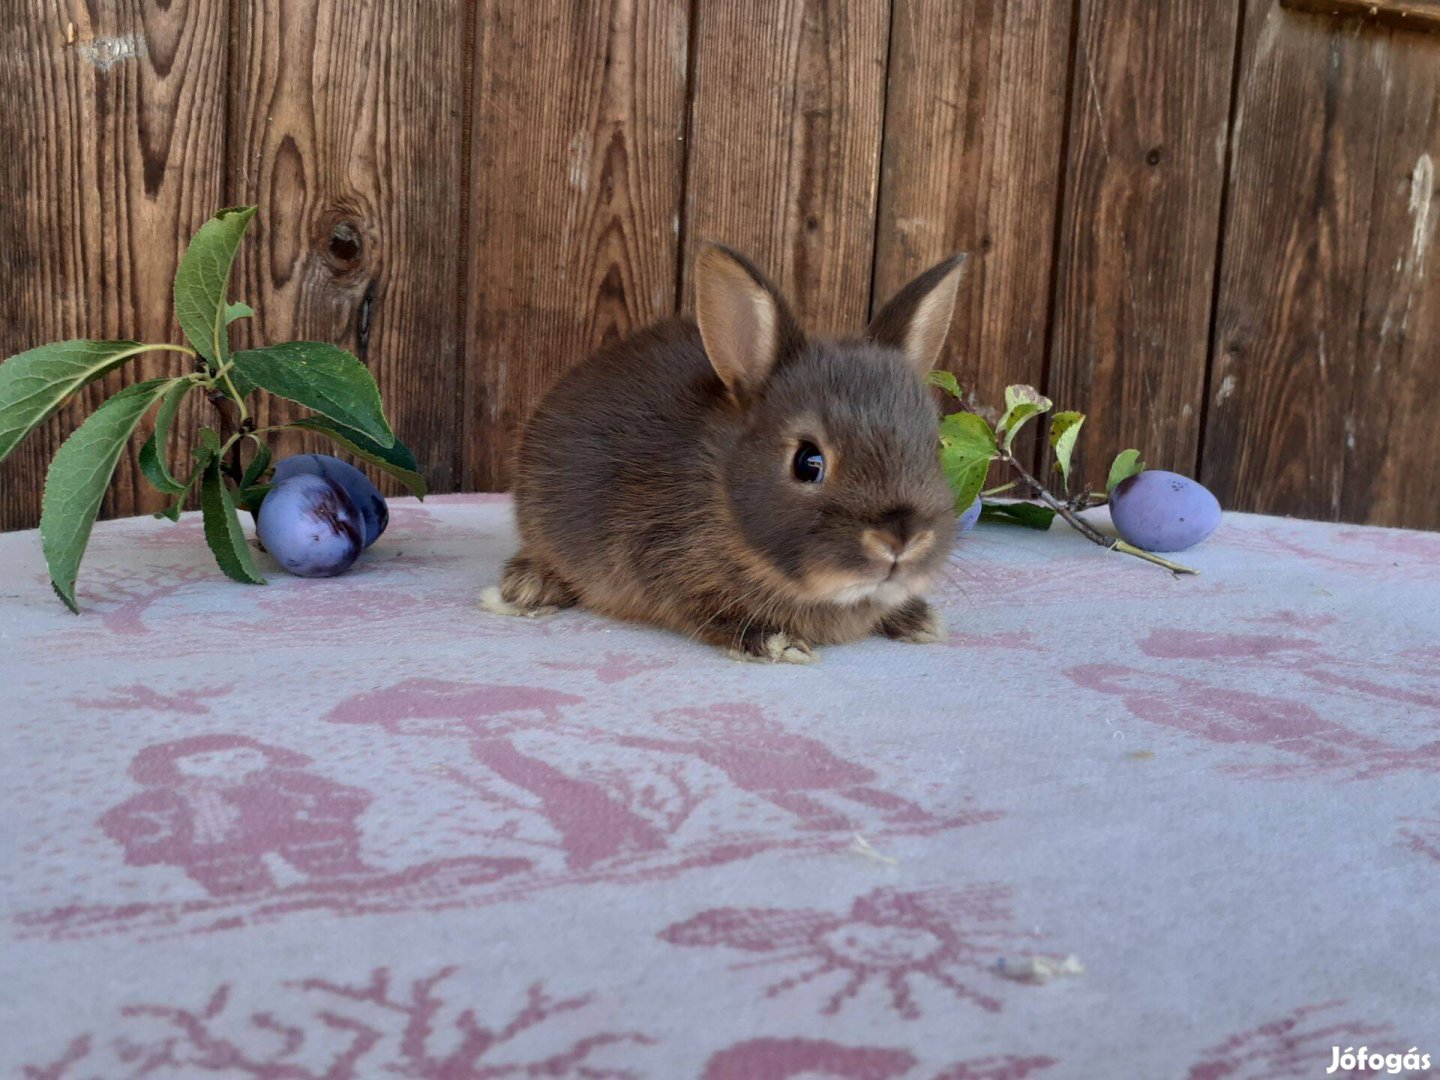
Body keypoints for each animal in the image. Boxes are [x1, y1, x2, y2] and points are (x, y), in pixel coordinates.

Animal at [483, 249, 967, 665]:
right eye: (808, 461)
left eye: (933, 447)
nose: (900, 539)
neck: (721, 491)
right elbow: (712, 616)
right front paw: (776, 642)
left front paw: (918, 619)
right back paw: (528, 586)